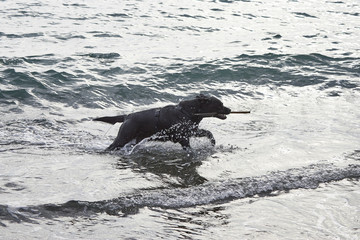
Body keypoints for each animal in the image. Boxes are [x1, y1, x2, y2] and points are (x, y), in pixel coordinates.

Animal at [93, 94, 231, 151]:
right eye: (220, 105)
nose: (229, 109)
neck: (188, 112)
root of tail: (127, 116)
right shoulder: (183, 137)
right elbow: (188, 147)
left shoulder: (192, 131)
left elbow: (208, 133)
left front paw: (212, 143)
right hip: (124, 136)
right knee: (112, 146)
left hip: (135, 139)